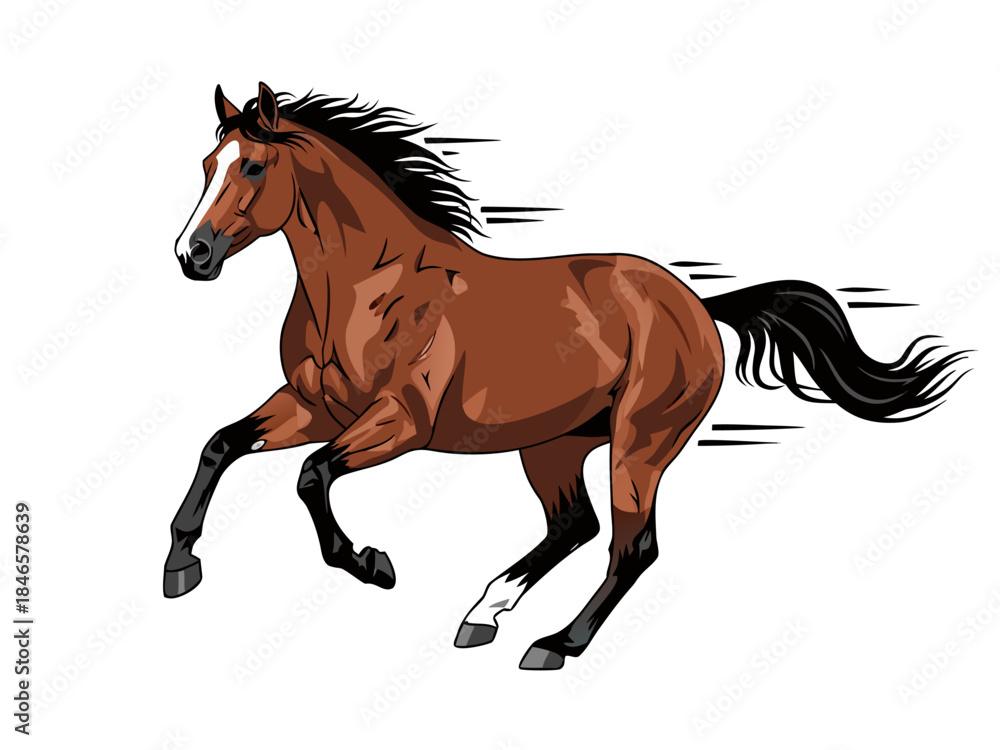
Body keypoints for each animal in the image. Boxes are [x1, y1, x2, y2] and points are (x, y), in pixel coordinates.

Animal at [165, 83, 968, 670]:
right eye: (207, 167)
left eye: (253, 167)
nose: (192, 255)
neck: (368, 287)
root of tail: (697, 304)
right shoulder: (312, 406)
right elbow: (221, 444)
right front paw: (180, 564)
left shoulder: (400, 423)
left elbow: (311, 477)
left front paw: (373, 565)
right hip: (552, 443)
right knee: (573, 525)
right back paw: (483, 615)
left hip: (640, 442)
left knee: (630, 545)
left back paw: (554, 645)